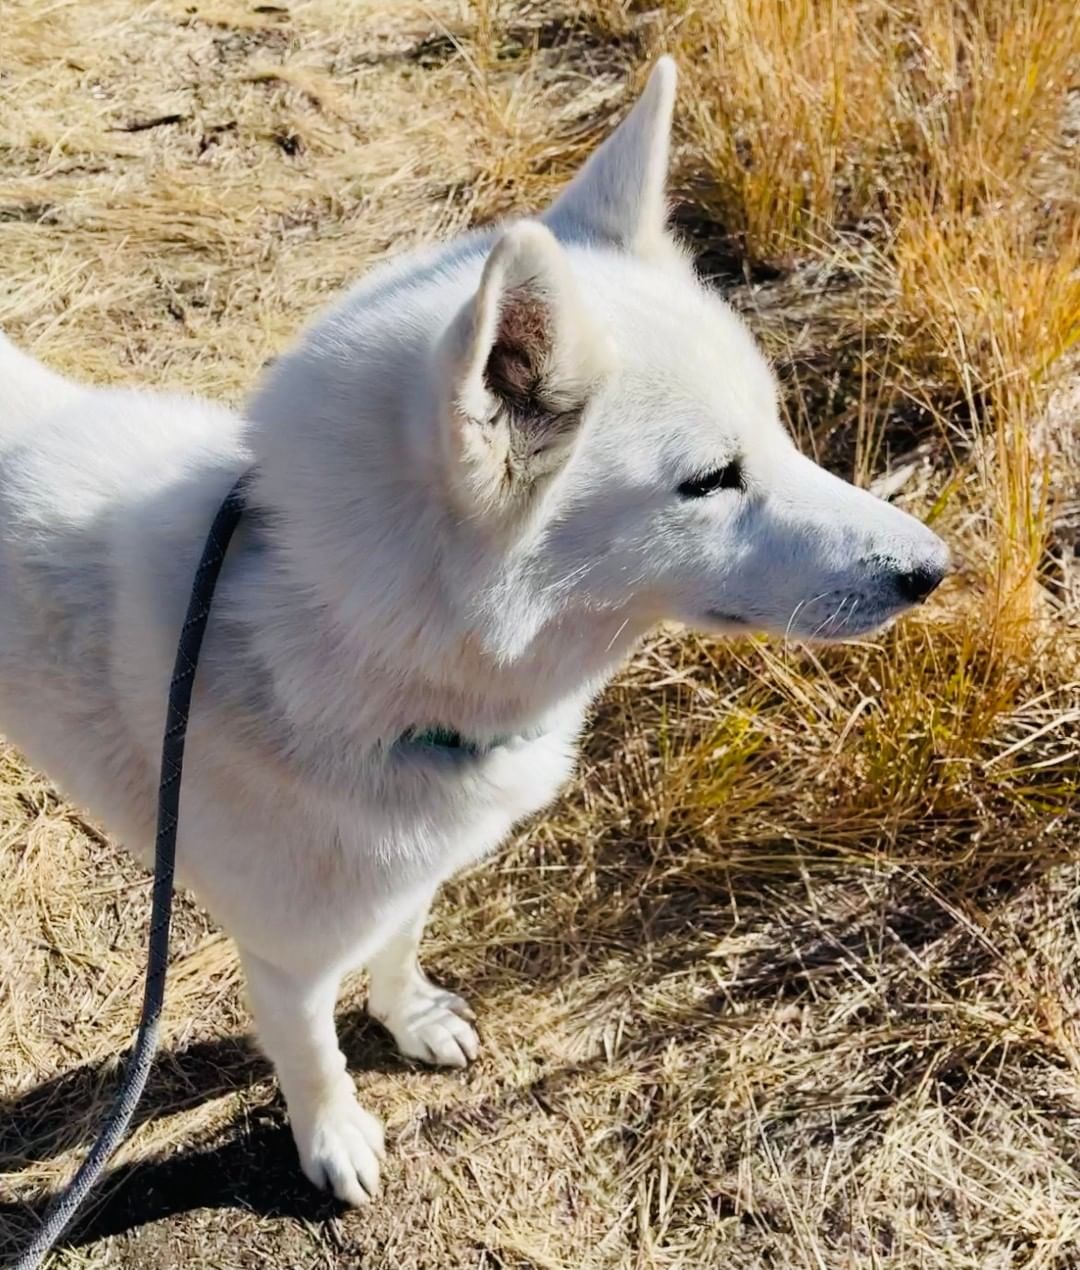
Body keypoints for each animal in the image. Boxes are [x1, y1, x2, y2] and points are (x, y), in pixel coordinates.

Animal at [0, 59, 945, 1203]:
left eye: (775, 433)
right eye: (711, 480)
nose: (934, 570)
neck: (327, 634)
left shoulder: (406, 875)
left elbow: (401, 945)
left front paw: (408, 1020)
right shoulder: (286, 958)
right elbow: (312, 1053)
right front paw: (335, 1137)